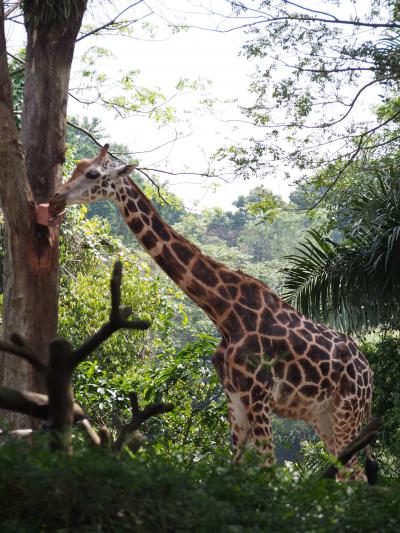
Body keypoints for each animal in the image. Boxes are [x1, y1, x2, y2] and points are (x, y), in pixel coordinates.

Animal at [49, 145, 376, 482]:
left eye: (93, 174)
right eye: (78, 165)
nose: (57, 197)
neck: (223, 313)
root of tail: (369, 372)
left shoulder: (258, 395)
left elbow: (268, 470)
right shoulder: (234, 396)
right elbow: (234, 468)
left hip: (348, 411)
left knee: (356, 475)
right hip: (323, 416)